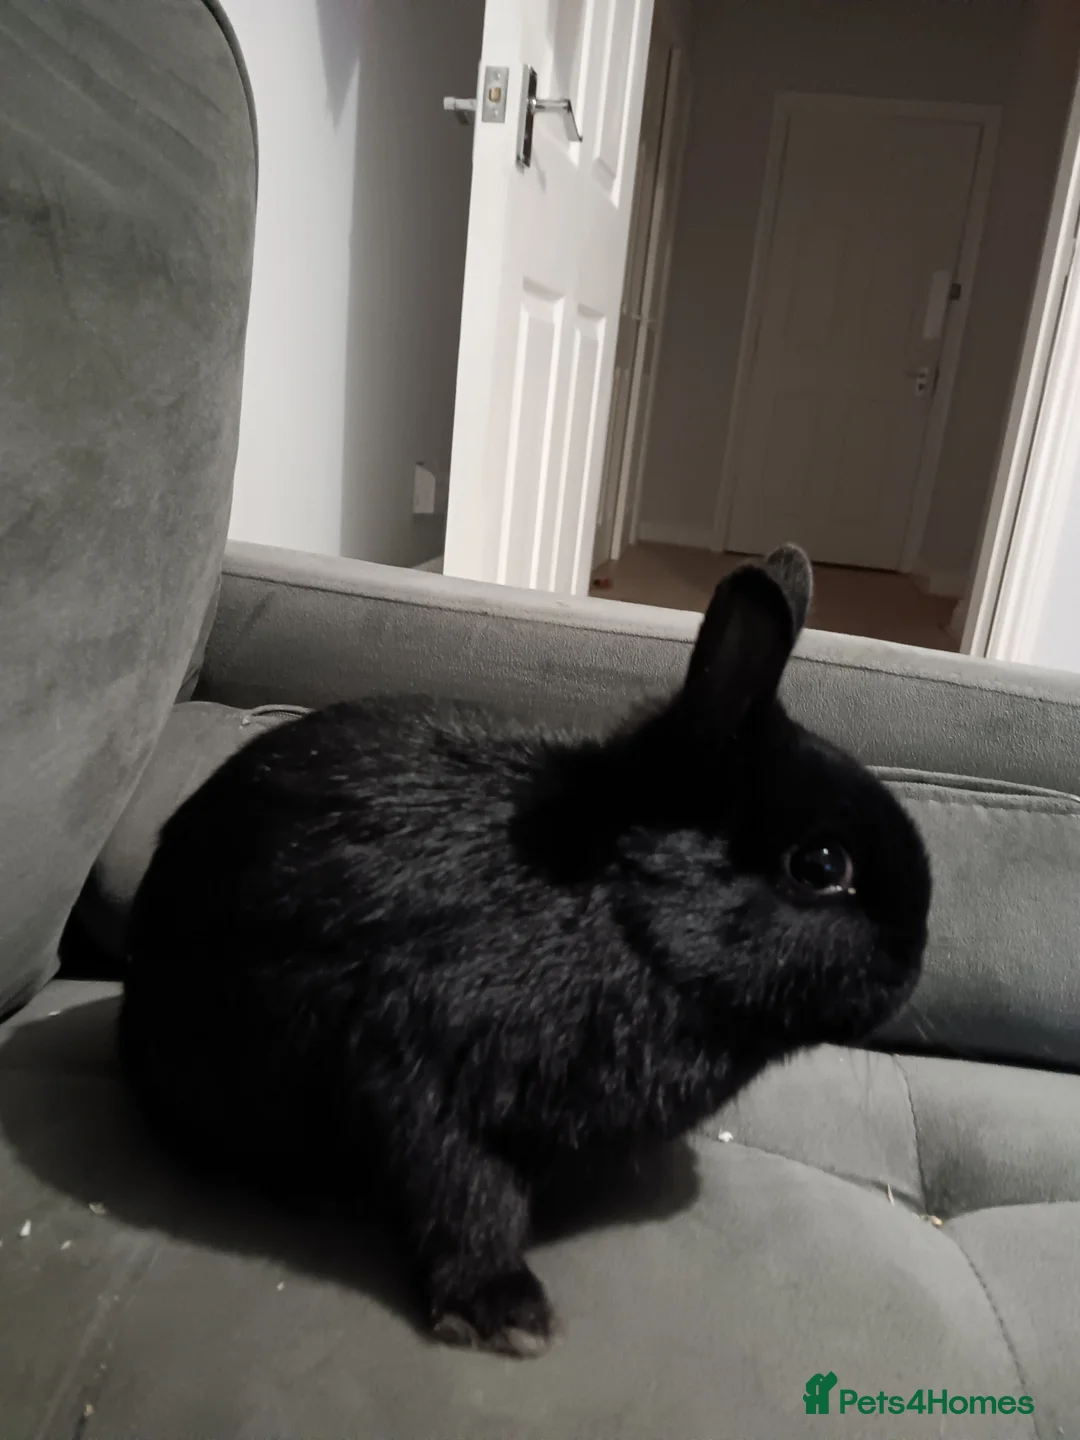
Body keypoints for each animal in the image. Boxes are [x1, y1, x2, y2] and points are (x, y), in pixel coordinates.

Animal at [119, 544, 931, 1358]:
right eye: (821, 865)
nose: (913, 964)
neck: (620, 913)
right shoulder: (425, 1074)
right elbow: (465, 1192)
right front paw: (505, 1316)